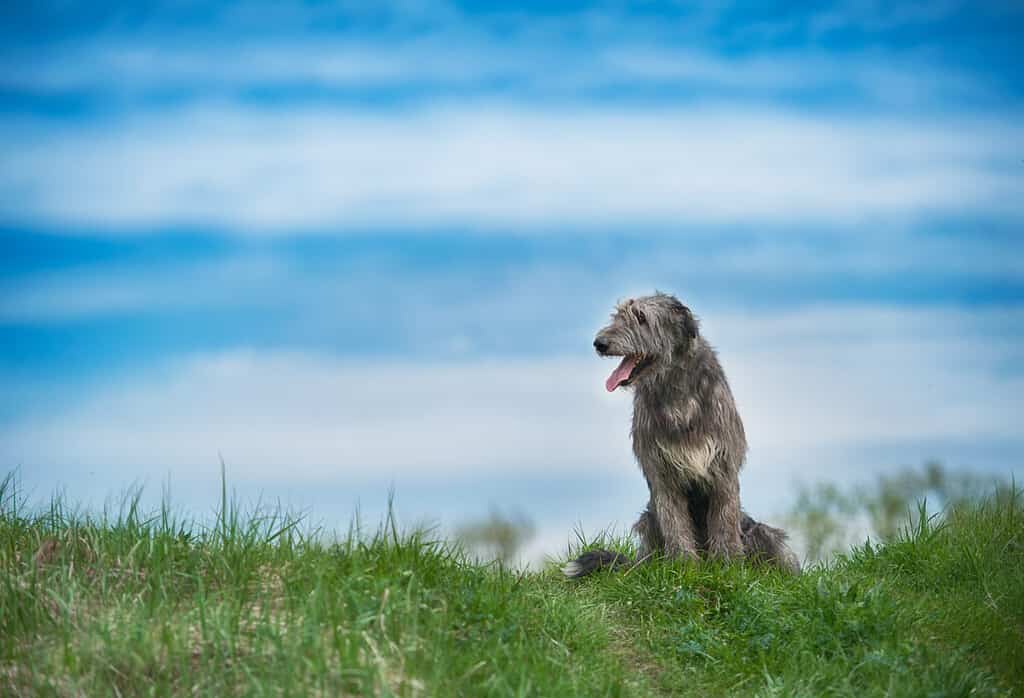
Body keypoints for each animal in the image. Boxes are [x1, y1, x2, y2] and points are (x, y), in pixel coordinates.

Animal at [565, 290, 794, 573]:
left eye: (641, 317)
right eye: (617, 315)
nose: (600, 343)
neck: (676, 393)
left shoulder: (723, 469)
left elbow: (724, 519)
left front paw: (727, 565)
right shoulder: (662, 473)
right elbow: (675, 523)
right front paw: (683, 567)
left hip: (761, 532)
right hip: (648, 520)